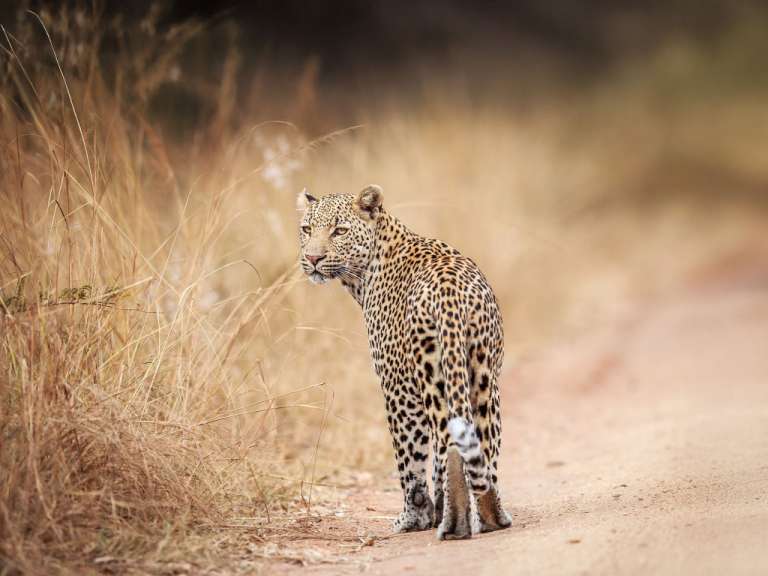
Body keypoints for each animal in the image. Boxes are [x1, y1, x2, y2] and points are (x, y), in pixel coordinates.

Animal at [297, 185, 511, 540]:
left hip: (431, 378)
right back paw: (491, 515)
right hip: (483, 376)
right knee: (483, 446)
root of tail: (450, 296)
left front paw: (413, 517)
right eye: (306, 229)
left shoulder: (397, 387)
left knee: (446, 444)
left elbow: (409, 462)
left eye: (339, 230)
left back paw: (453, 522)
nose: (313, 259)